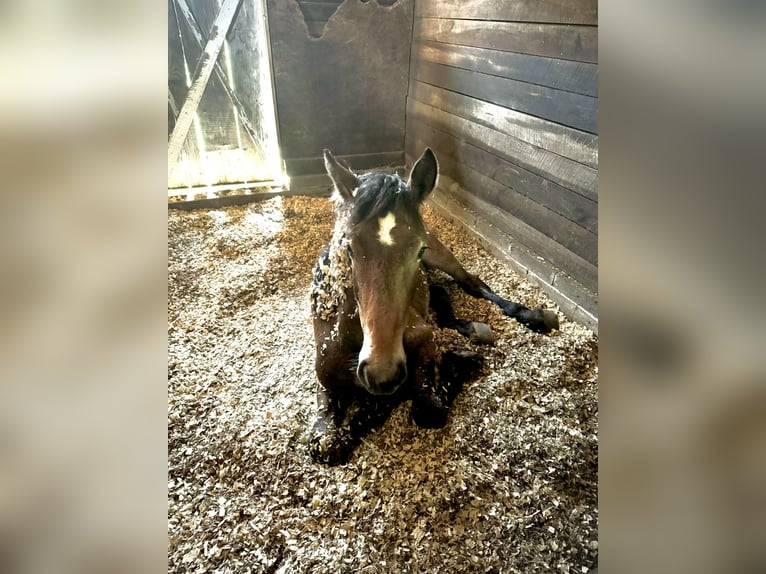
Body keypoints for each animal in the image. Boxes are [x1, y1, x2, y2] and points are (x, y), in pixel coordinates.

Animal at [308, 150, 560, 468]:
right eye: (349, 248)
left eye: (419, 250)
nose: (381, 371)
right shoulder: (325, 385)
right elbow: (326, 445)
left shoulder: (423, 342)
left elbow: (428, 409)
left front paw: (459, 360)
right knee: (442, 295)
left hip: (444, 258)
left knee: (471, 283)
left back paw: (532, 316)